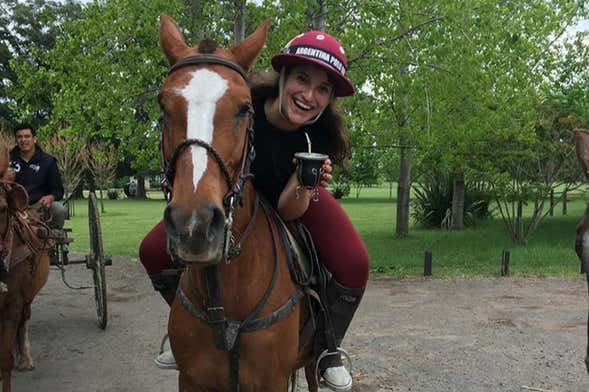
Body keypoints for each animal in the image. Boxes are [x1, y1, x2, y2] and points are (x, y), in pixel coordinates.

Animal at [158, 13, 320, 390]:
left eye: (245, 108)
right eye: (163, 105)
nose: (195, 225)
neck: (226, 302)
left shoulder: (271, 381)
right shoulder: (191, 380)